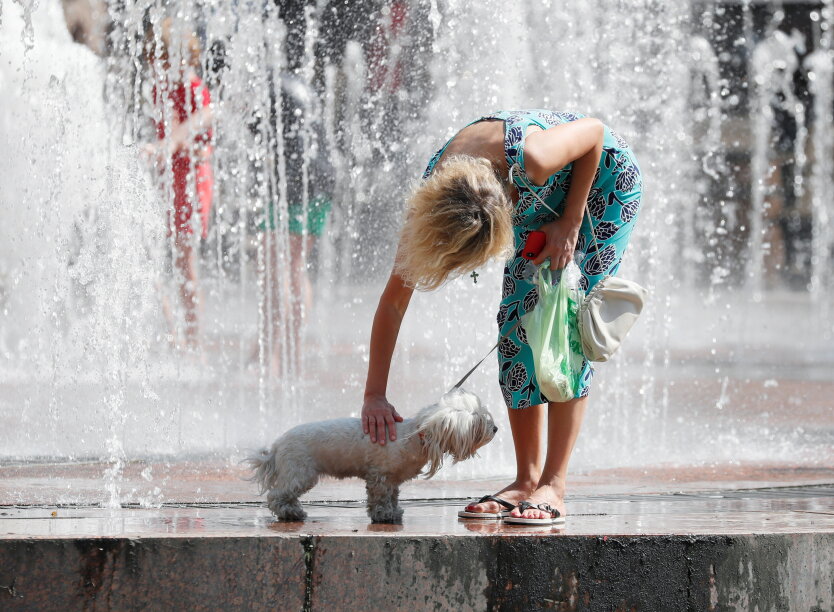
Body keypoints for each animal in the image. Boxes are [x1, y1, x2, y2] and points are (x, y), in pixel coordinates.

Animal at [247, 390, 494, 524]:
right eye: (478, 422)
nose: (496, 429)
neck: (414, 436)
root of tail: (277, 445)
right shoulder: (380, 476)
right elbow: (380, 498)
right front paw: (384, 514)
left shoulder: (392, 479)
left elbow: (392, 497)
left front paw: (394, 512)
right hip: (300, 473)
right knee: (277, 496)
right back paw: (291, 513)